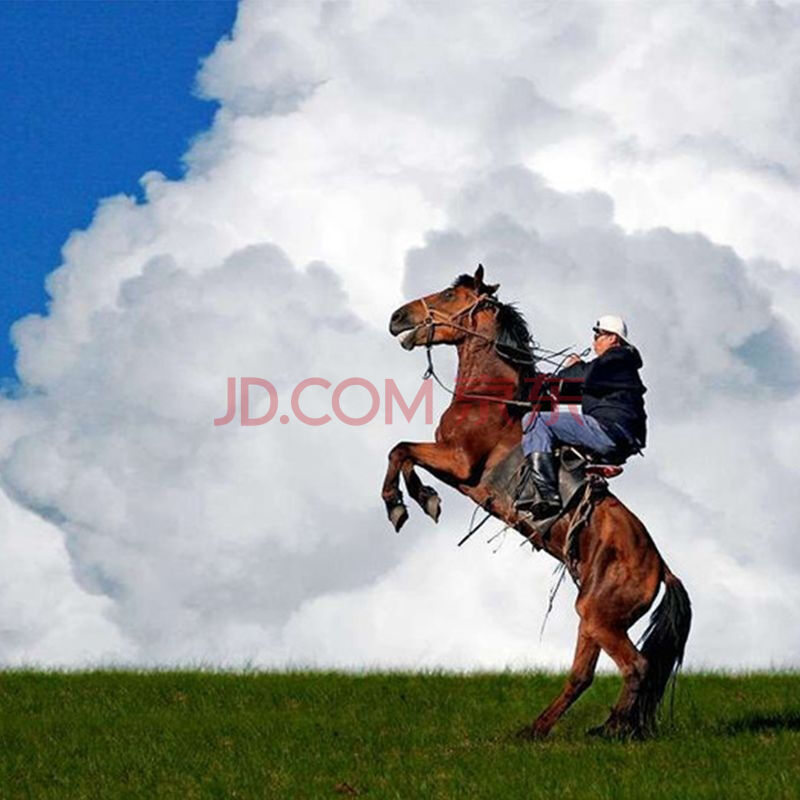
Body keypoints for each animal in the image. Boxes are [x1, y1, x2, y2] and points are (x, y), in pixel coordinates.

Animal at [384, 264, 692, 736]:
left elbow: (400, 450)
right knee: (583, 675)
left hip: (600, 616)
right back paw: (539, 730)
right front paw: (415, 499)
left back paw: (612, 731)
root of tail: (661, 567)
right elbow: (401, 452)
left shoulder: (457, 462)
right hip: (592, 615)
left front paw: (407, 502)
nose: (398, 317)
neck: (490, 397)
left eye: (451, 294)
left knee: (636, 666)